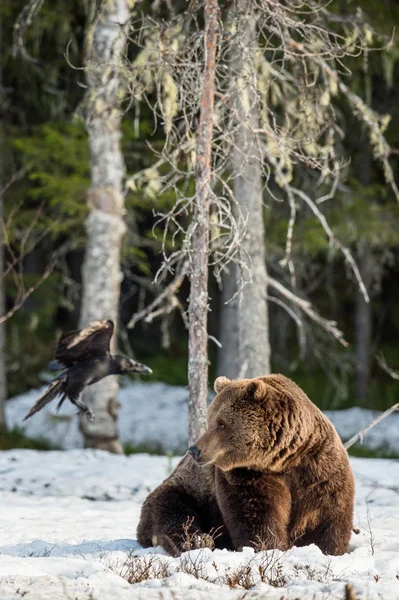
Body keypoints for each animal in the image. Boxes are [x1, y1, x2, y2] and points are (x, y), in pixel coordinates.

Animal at [138, 376, 356, 556]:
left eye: (221, 423)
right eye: (209, 421)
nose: (194, 450)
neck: (283, 459)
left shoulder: (319, 469)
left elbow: (326, 517)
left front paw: (327, 549)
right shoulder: (248, 475)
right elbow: (257, 514)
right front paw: (269, 547)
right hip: (187, 490)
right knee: (173, 512)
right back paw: (198, 541)